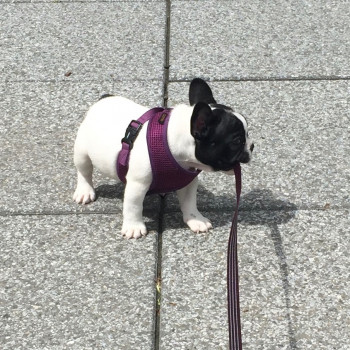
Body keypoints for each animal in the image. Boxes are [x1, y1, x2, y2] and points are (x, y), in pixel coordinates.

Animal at [74, 78, 254, 238]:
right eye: (237, 141)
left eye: (247, 134)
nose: (252, 145)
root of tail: (103, 99)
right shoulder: (138, 184)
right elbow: (133, 206)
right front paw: (134, 227)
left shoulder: (188, 181)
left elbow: (190, 202)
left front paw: (196, 220)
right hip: (82, 152)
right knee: (84, 172)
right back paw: (84, 191)